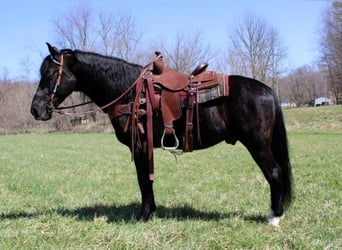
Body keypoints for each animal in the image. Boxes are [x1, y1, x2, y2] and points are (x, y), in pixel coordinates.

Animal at [31, 43, 292, 227]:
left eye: (51, 74)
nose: (36, 109)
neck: (129, 93)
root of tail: (267, 90)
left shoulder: (140, 146)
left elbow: (143, 180)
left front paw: (143, 216)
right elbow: (146, 180)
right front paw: (150, 212)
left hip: (258, 145)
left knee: (274, 173)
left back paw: (274, 217)